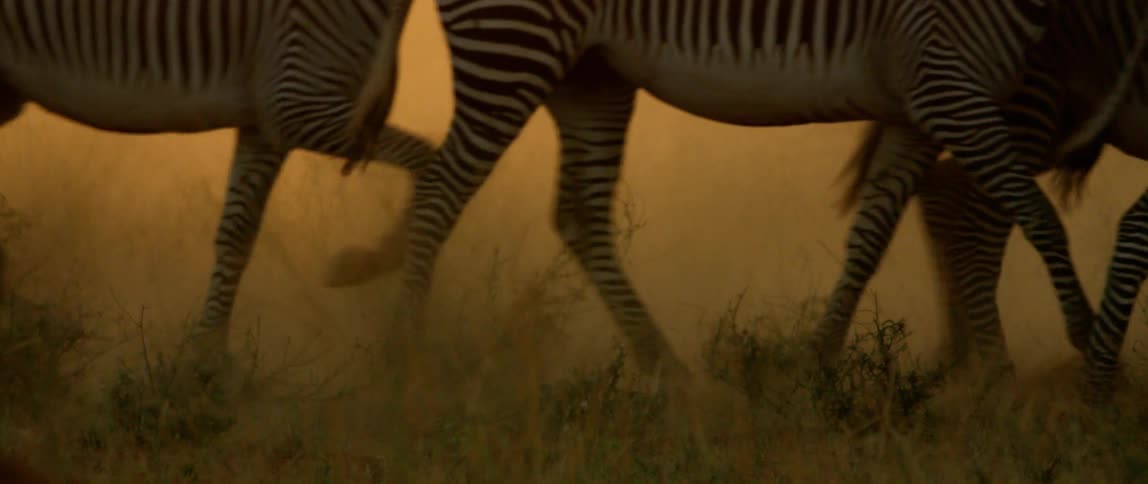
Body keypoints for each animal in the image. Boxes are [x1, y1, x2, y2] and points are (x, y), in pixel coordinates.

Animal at [0, 0, 431, 369]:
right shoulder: (295, 99)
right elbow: (429, 159)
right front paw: (376, 278)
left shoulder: (267, 124)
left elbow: (238, 235)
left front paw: (207, 359)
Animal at [345, 0, 1107, 384]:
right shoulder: (947, 81)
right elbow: (1035, 212)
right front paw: (1085, 338)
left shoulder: (915, 108)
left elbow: (874, 230)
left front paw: (818, 360)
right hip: (516, 45)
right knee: (443, 188)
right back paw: (402, 362)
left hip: (591, 72)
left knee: (579, 214)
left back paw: (670, 373)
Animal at [836, 0, 1148, 404]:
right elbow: (1136, 232)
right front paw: (1099, 384)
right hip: (1031, 110)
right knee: (973, 228)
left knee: (944, 186)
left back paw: (958, 359)